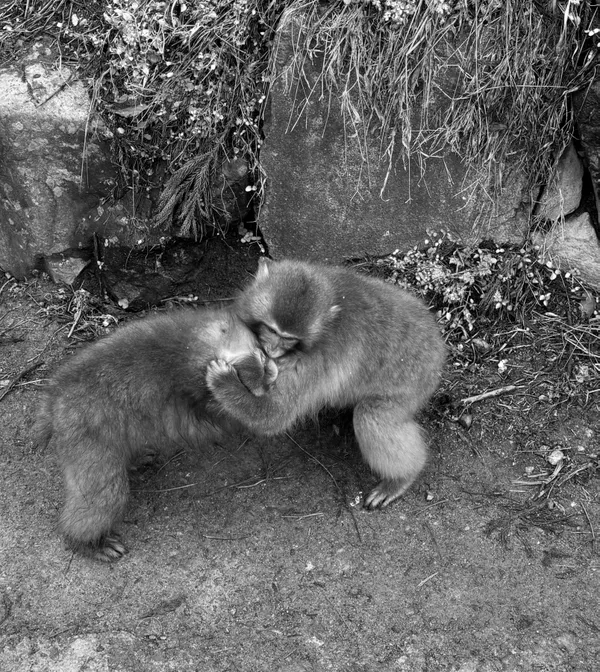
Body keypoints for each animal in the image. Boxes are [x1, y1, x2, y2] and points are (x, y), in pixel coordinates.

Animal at [36, 306, 278, 562]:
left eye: (263, 357)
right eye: (260, 368)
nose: (272, 374)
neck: (196, 343)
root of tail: (55, 399)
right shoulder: (199, 386)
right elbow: (239, 412)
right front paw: (229, 385)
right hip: (85, 436)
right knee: (103, 495)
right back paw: (86, 542)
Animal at [206, 258, 446, 509]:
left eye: (288, 338)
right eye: (271, 329)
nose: (272, 349)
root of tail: (439, 347)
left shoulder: (317, 361)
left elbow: (273, 416)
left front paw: (224, 381)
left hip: (413, 382)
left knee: (370, 415)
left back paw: (401, 479)